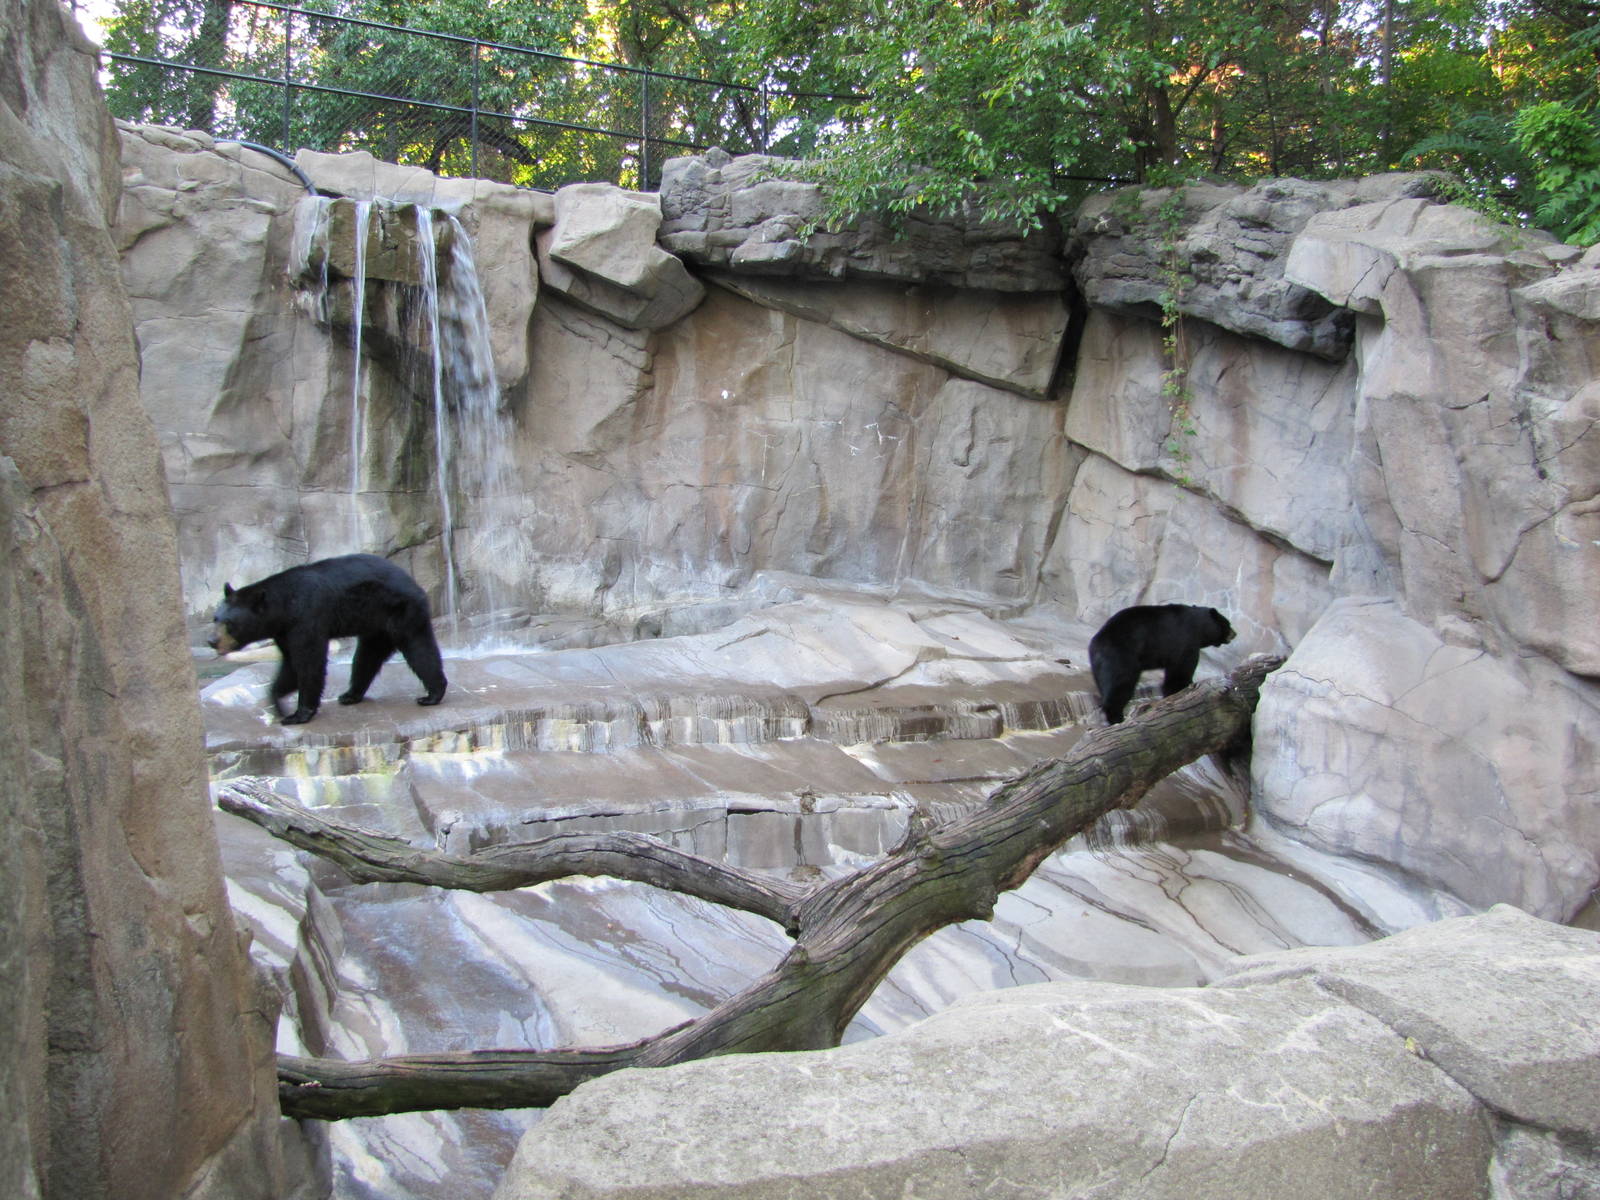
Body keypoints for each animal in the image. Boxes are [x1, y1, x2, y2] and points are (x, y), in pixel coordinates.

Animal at [207, 553, 448, 725]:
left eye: (229, 623)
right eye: (215, 618)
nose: (211, 641)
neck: (283, 605)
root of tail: (413, 583)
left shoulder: (306, 617)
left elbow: (309, 661)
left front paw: (299, 714)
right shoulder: (284, 631)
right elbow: (290, 664)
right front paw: (279, 703)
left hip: (399, 611)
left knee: (417, 649)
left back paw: (432, 694)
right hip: (376, 625)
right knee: (366, 657)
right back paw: (351, 694)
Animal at [1088, 604, 1236, 725]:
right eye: (1228, 623)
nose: (1234, 633)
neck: (1198, 626)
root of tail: (1096, 645)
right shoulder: (1184, 640)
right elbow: (1181, 667)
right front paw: (1182, 687)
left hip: (1098, 668)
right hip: (1120, 656)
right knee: (1120, 684)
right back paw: (1116, 718)